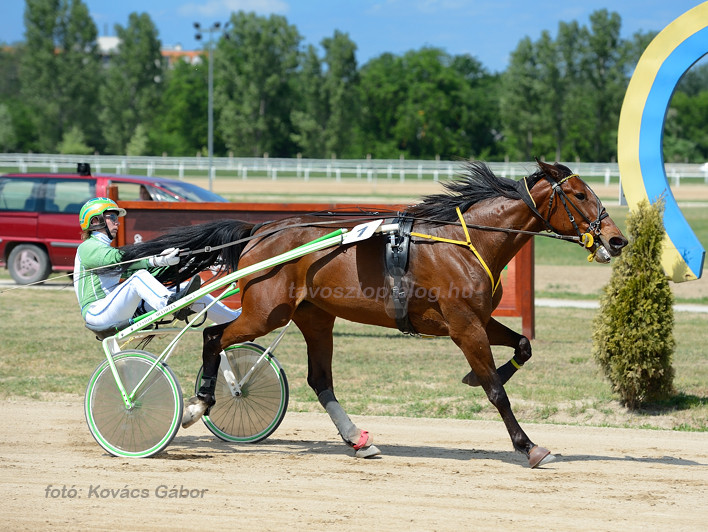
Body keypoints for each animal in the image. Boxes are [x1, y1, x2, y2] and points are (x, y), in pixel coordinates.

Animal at [123, 160, 632, 468]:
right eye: (580, 195)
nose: (617, 239)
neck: (469, 241)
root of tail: (262, 229)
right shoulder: (464, 326)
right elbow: (496, 392)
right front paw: (528, 445)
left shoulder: (478, 318)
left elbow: (522, 346)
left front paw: (482, 377)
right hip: (268, 311)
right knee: (214, 338)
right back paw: (197, 404)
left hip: (314, 316)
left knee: (319, 379)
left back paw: (357, 440)